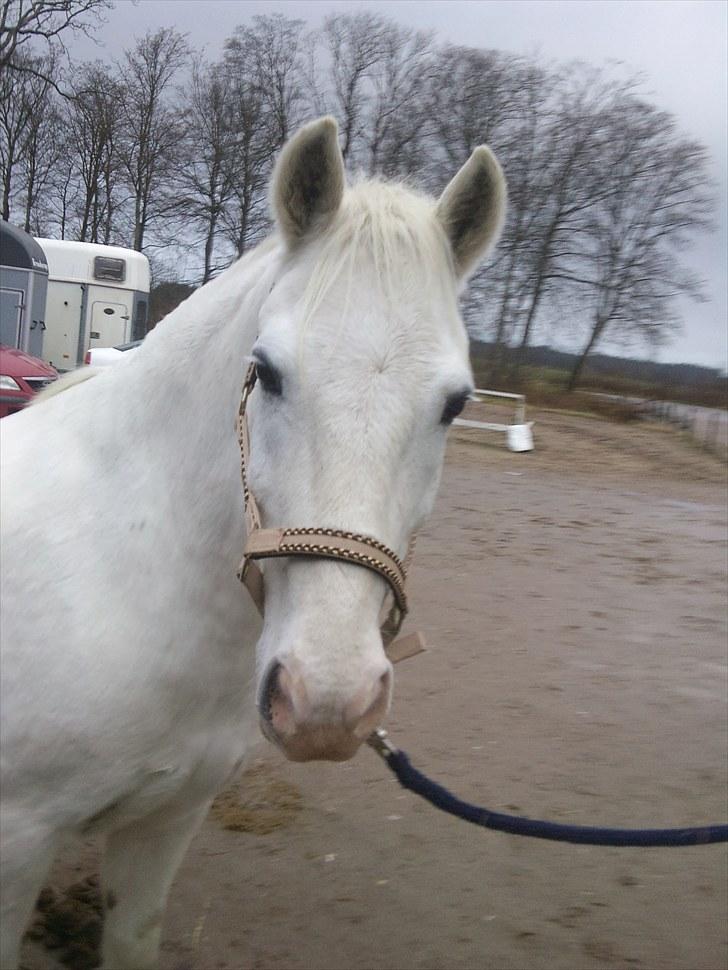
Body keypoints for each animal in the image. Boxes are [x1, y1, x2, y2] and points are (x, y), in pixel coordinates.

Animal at [0, 119, 506, 968]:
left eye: (455, 403)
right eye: (265, 373)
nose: (327, 703)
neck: (117, 581)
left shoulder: (165, 822)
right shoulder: (17, 843)